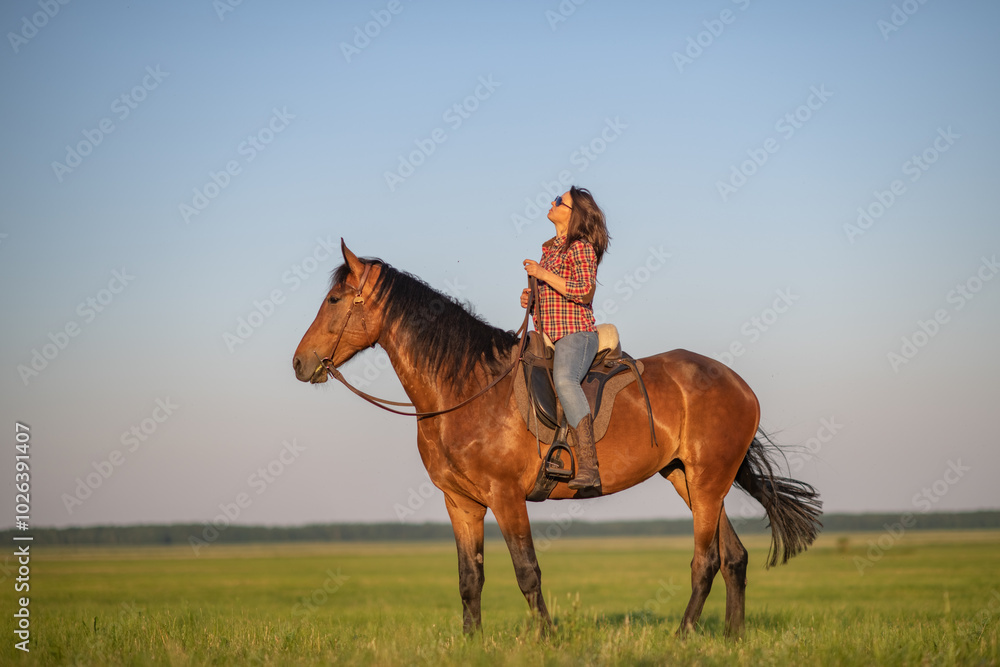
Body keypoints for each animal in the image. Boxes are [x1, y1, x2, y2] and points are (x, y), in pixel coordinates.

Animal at [292, 240, 822, 638]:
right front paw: (471, 640)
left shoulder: (506, 496)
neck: (463, 390)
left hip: (708, 481)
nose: (299, 362)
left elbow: (527, 571)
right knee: (734, 557)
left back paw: (683, 634)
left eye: (334, 300)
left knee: (706, 560)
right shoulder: (460, 502)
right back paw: (732, 636)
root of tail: (739, 385)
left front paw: (545, 638)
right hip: (689, 478)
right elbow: (470, 578)